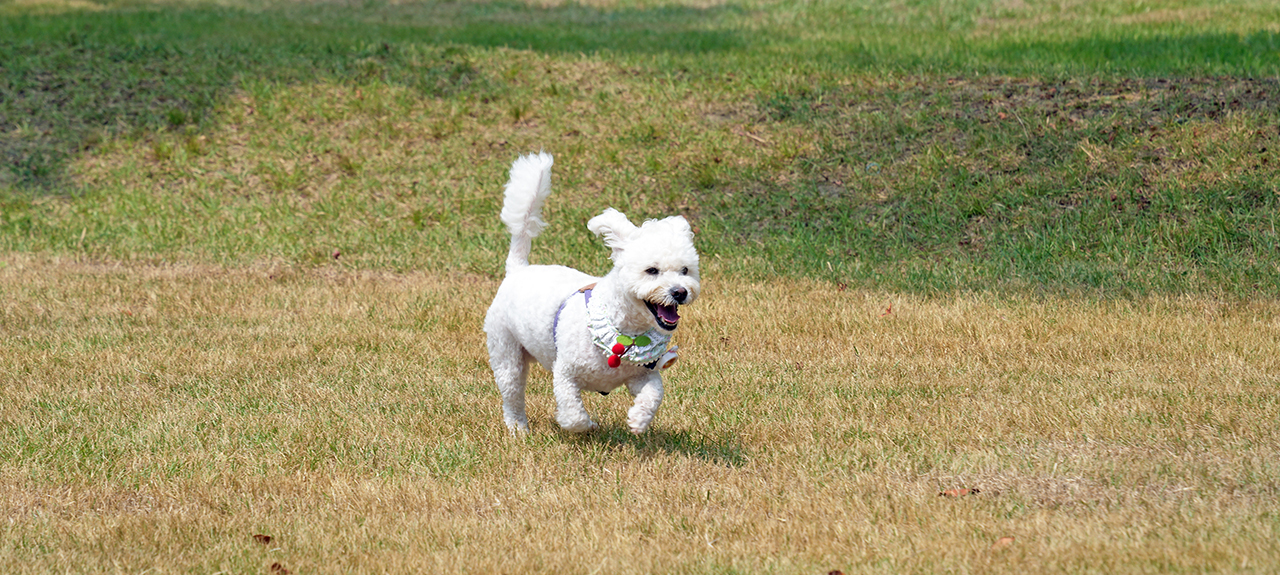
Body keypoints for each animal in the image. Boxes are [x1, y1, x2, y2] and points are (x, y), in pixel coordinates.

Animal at [481, 152, 701, 435]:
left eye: (685, 270)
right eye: (652, 271)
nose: (680, 292)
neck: (625, 332)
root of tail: (518, 269)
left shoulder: (641, 374)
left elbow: (655, 392)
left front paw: (639, 419)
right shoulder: (565, 373)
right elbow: (573, 413)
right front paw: (586, 425)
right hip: (505, 350)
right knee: (512, 393)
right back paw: (518, 428)